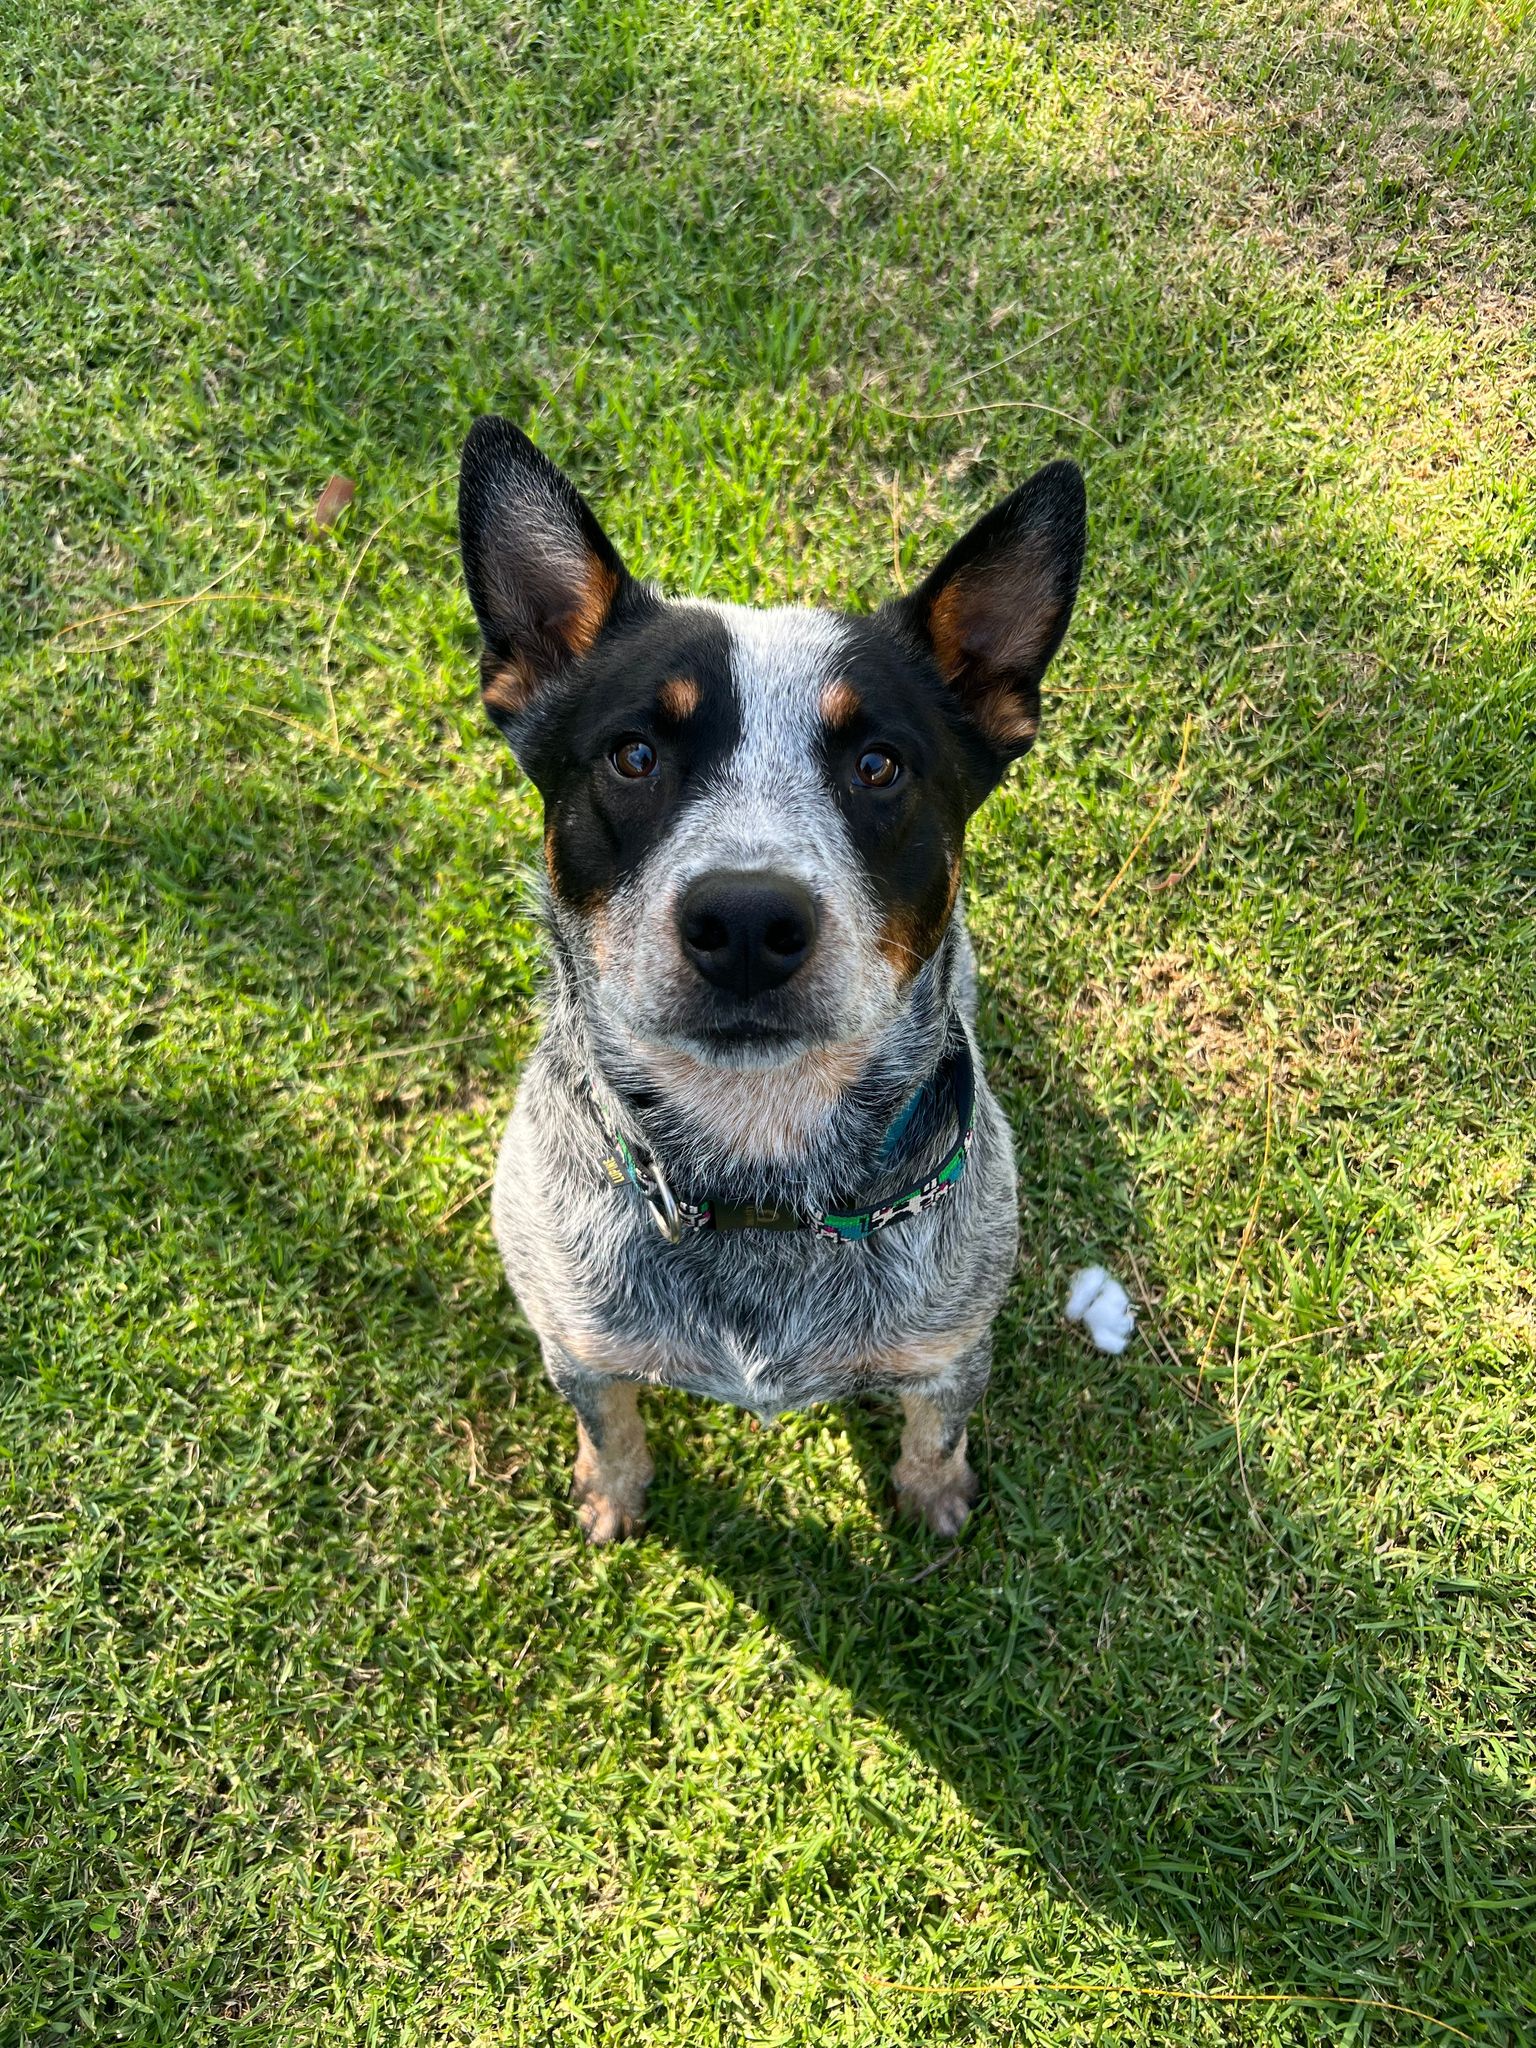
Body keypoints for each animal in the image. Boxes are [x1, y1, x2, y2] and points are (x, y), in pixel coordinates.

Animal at [462, 415, 1089, 1540]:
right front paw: (612, 1489)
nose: (748, 919)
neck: (757, 1179)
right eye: (632, 754)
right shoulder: (575, 1342)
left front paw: (935, 1496)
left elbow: (937, 1432)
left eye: (879, 764)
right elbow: (609, 1421)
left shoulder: (950, 1349)